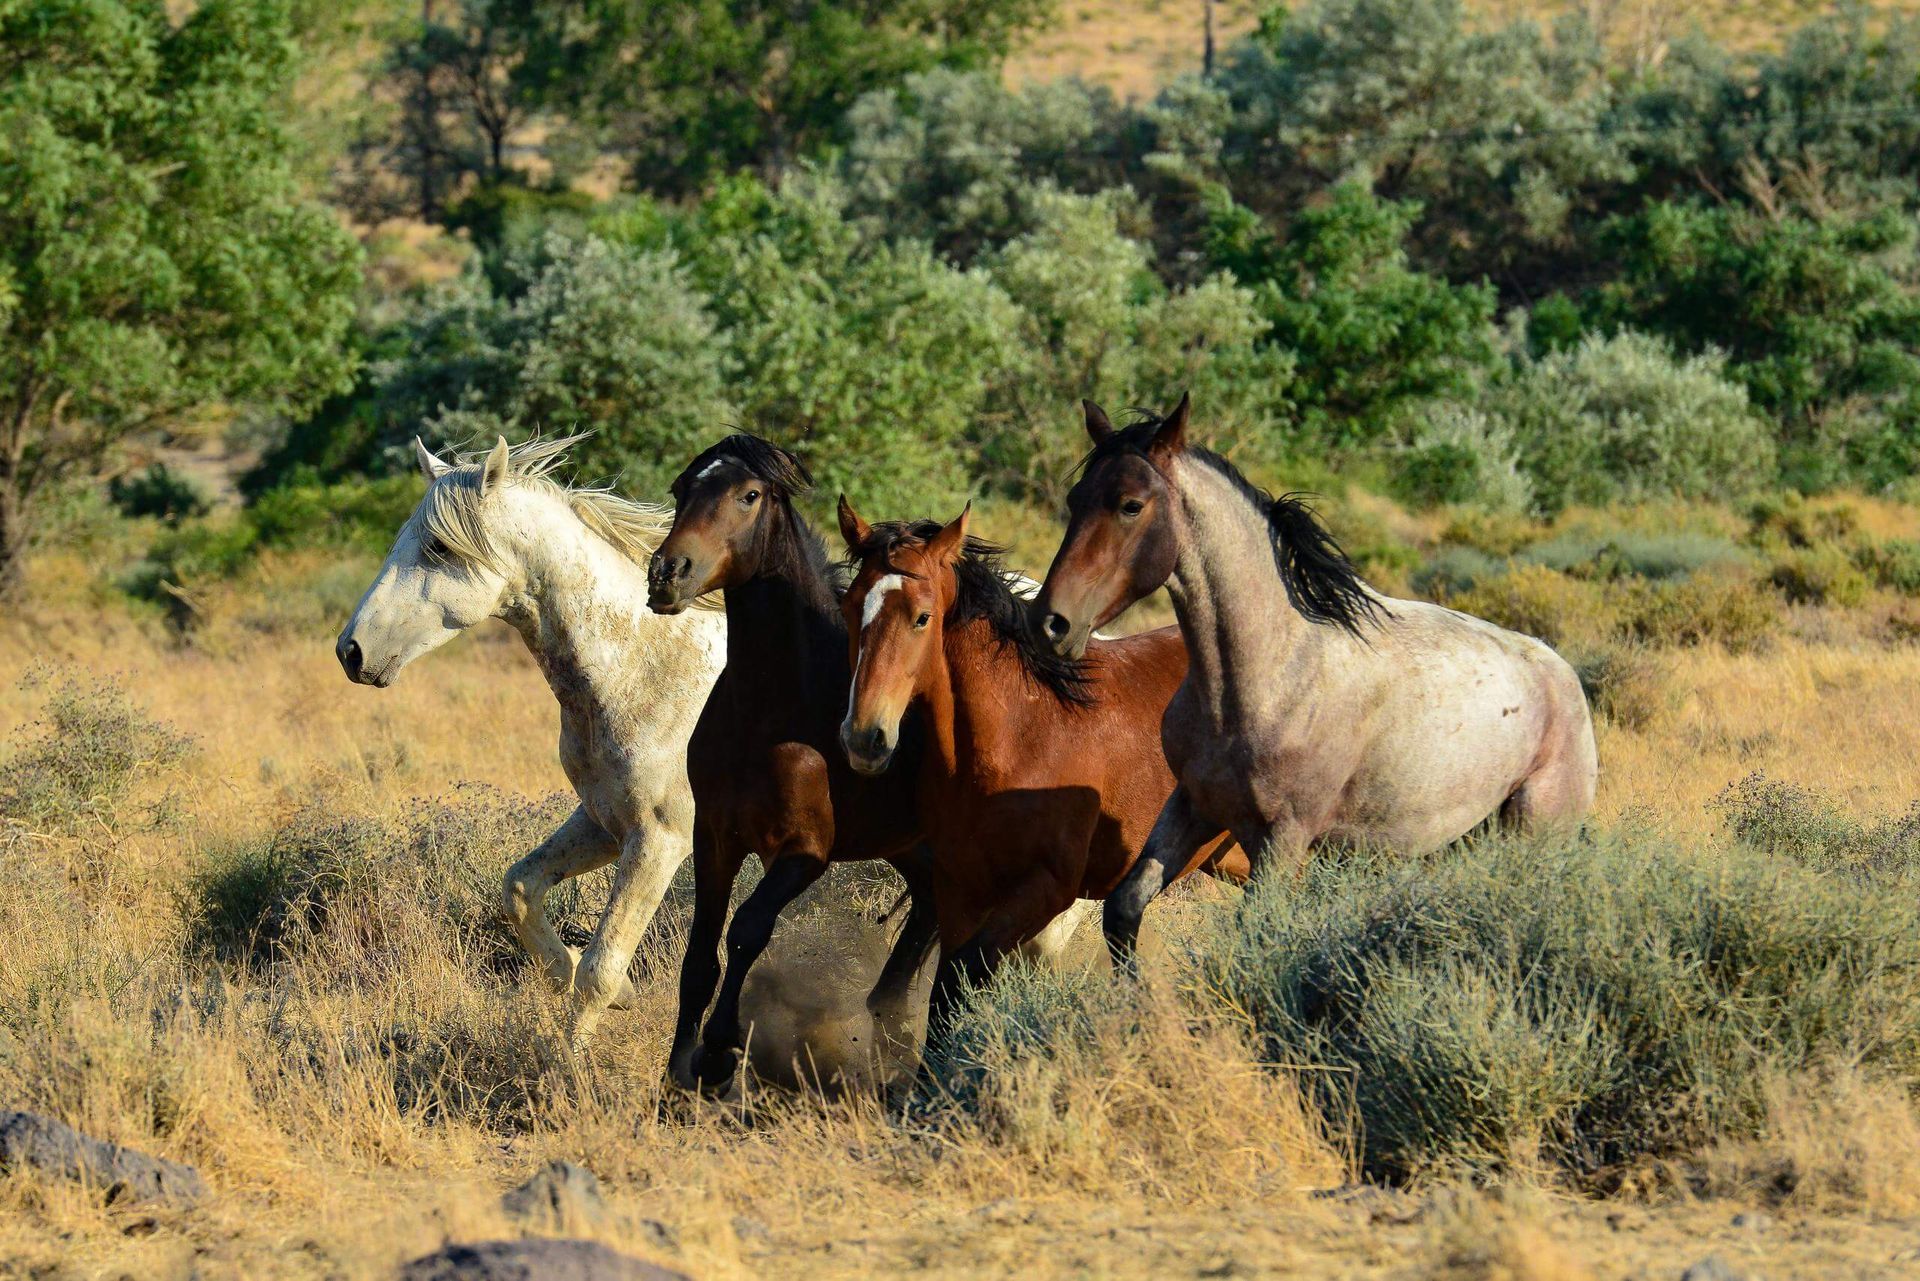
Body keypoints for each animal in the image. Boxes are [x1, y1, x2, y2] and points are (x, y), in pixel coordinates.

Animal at [335, 435, 726, 1042]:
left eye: (438, 548)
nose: (351, 651)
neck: (650, 670)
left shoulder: (660, 839)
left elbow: (601, 969)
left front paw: (568, 1061)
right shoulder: (604, 821)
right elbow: (520, 890)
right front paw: (580, 975)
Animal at [836, 500, 1247, 1035]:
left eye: (922, 618)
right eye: (849, 607)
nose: (864, 738)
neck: (1023, 732)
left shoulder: (1048, 892)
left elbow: (959, 979)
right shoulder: (960, 888)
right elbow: (944, 1002)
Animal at [1032, 395, 1598, 965]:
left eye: (1130, 505)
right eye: (1076, 498)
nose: (1050, 623)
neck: (1270, 678)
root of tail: (1563, 675)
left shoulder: (1283, 838)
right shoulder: (1195, 805)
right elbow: (1124, 909)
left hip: (1534, 834)